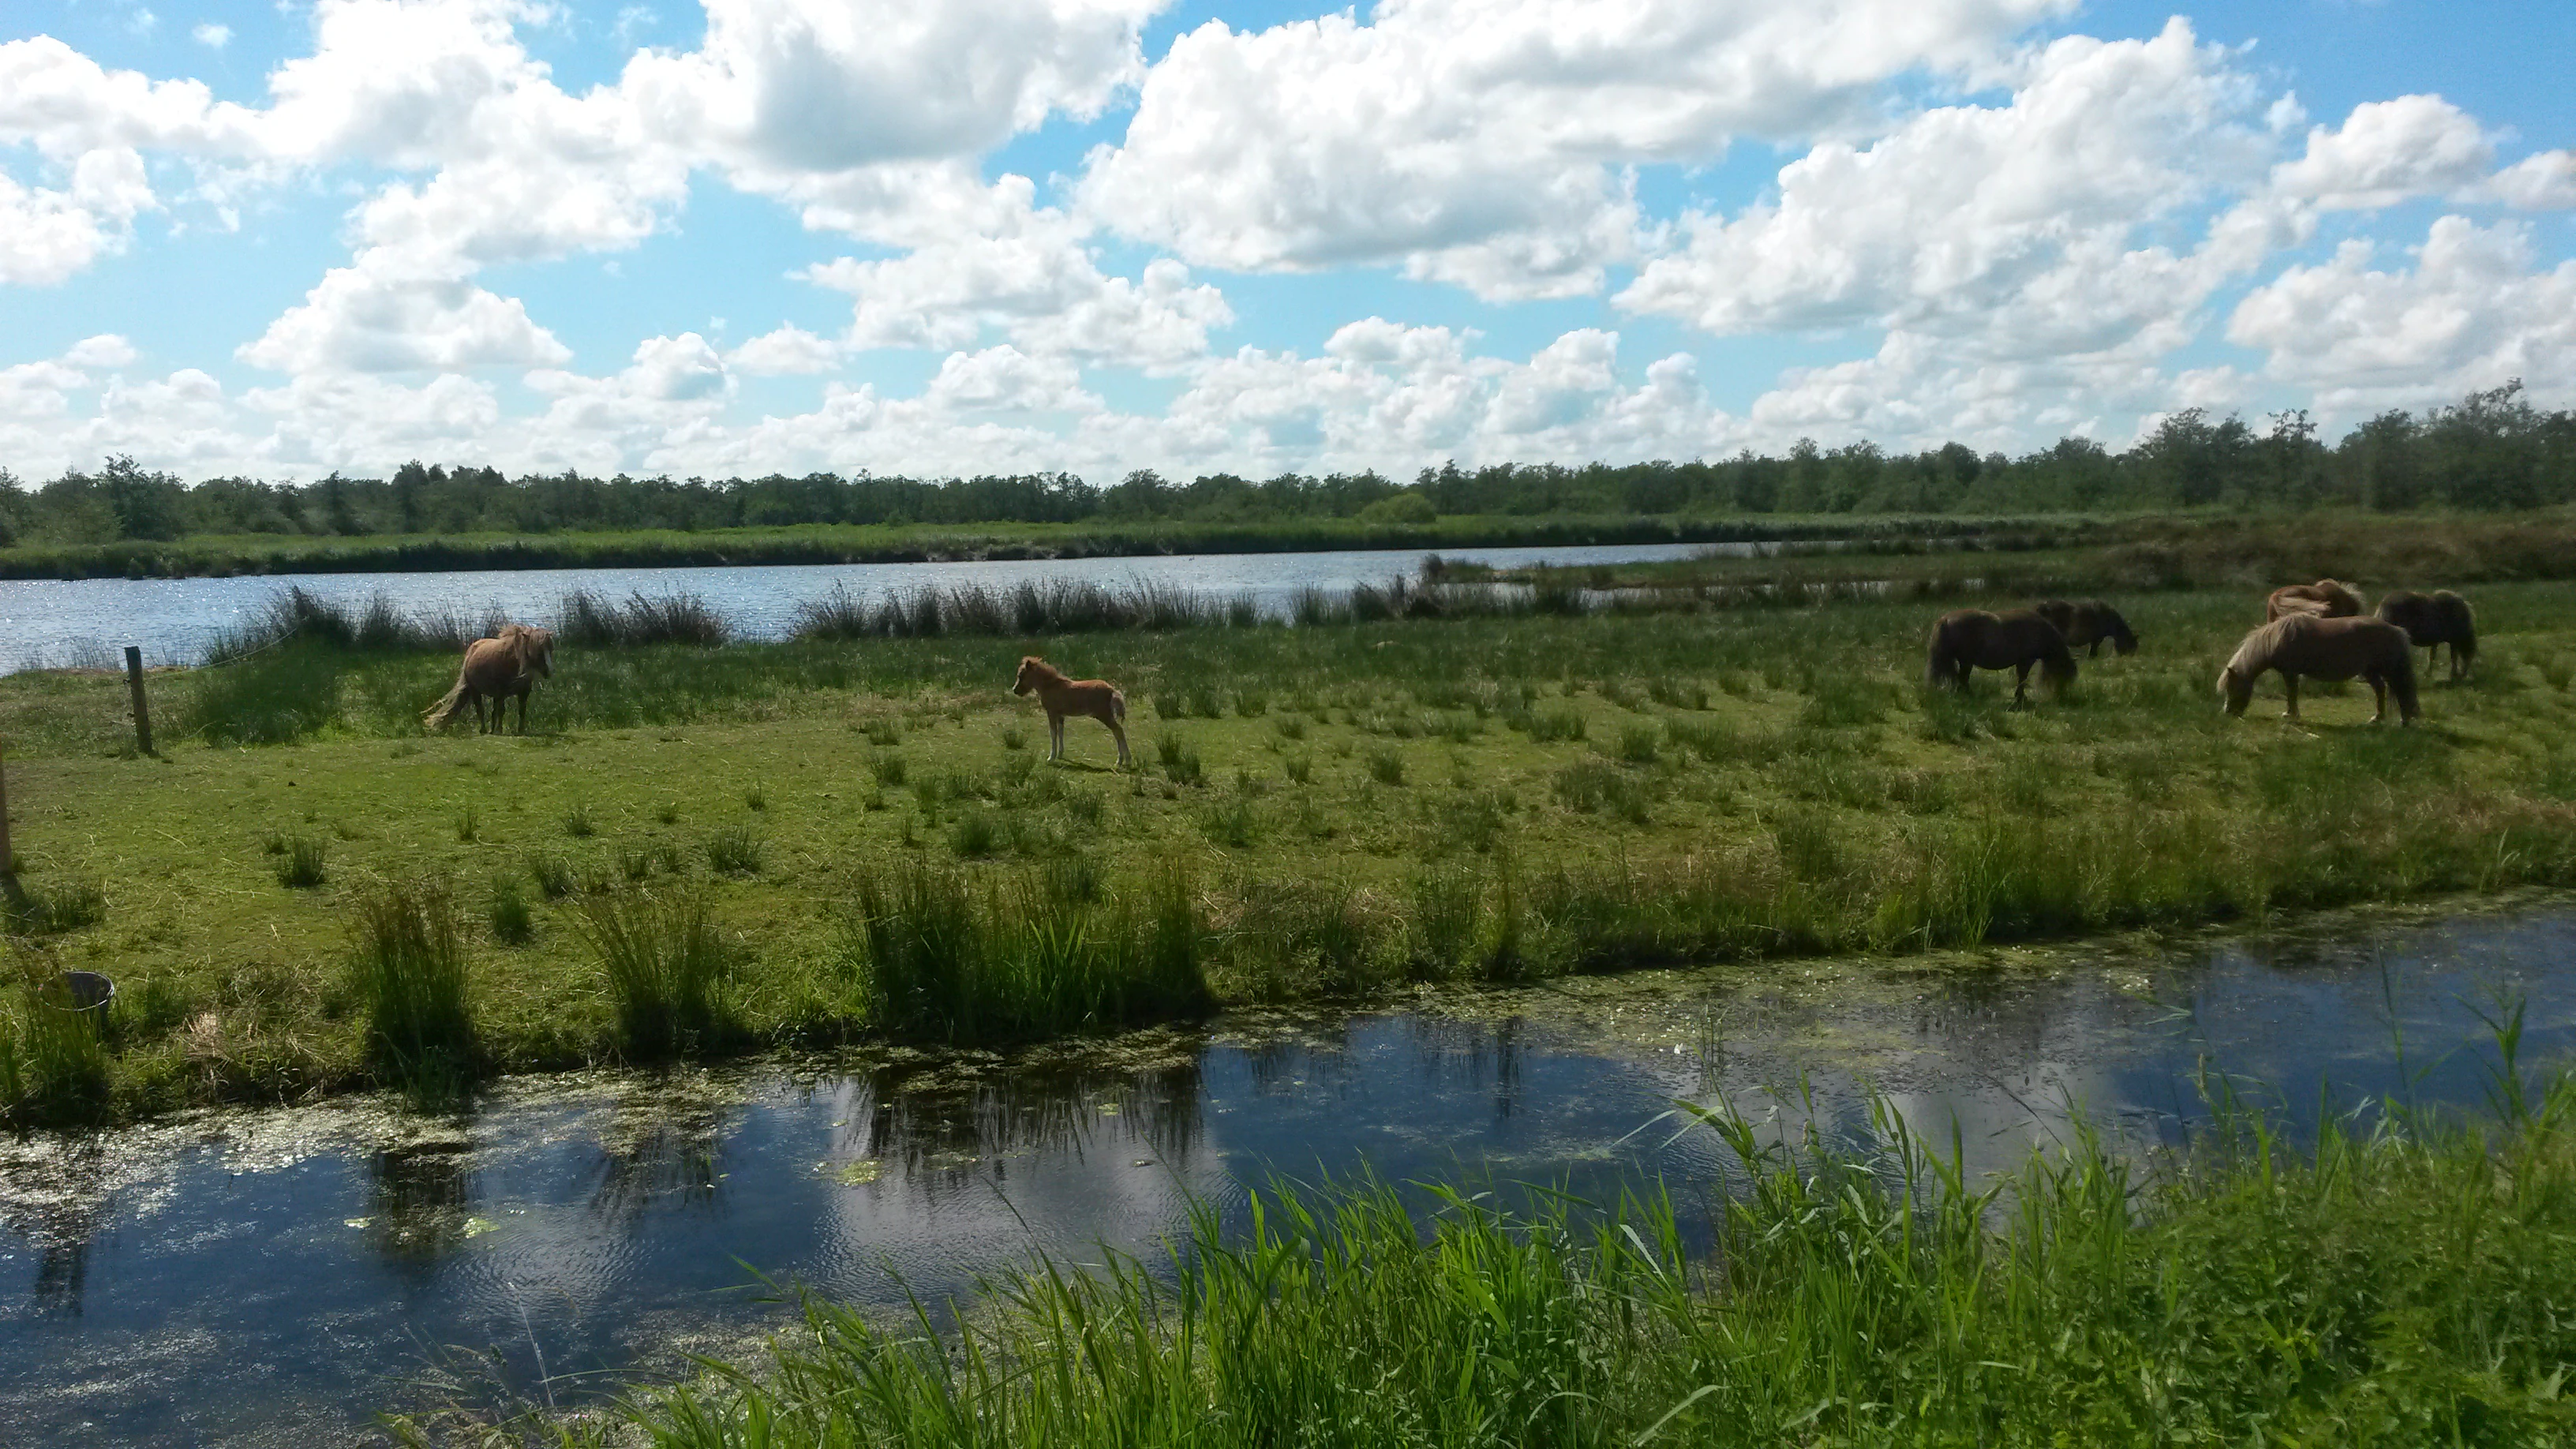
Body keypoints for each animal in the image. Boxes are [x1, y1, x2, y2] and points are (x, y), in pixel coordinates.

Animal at [423, 624, 556, 734]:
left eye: (551, 650)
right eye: (538, 651)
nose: (549, 671)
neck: (515, 663)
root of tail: (471, 651)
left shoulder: (524, 692)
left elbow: (521, 711)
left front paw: (520, 730)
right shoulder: (502, 692)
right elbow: (501, 711)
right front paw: (500, 730)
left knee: (493, 711)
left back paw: (492, 730)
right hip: (475, 691)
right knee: (481, 710)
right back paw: (484, 730)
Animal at [1012, 656, 1131, 767]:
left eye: (1021, 675)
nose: (1015, 690)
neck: (1050, 686)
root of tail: (1111, 689)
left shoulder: (1051, 712)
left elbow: (1053, 733)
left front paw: (1051, 757)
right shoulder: (1060, 715)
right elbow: (1061, 732)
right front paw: (1060, 754)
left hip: (1104, 715)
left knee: (1119, 731)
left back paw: (1124, 760)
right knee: (1117, 732)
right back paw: (1122, 761)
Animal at [1924, 608, 2077, 708]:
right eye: (2065, 675)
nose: (2062, 696)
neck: (2040, 631)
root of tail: (1946, 619)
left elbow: (2021, 678)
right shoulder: (2026, 661)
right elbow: (2022, 679)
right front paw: (2021, 698)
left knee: (1962, 678)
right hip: (1966, 661)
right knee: (1962, 678)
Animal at [2218, 613, 2418, 725]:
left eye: (2232, 688)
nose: (2228, 712)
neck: (2277, 639)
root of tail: (2397, 630)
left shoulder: (2290, 673)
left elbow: (2291, 694)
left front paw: (2291, 715)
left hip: (2389, 671)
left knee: (2401, 691)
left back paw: (2404, 720)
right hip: (2370, 671)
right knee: (2381, 690)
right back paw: (2377, 718)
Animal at [2374, 589, 2477, 681]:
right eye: (2469, 655)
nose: (2463, 675)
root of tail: (2382, 606)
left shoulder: (2436, 641)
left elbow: (2432, 656)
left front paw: (2428, 674)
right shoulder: (2453, 641)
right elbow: (2453, 658)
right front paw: (2452, 675)